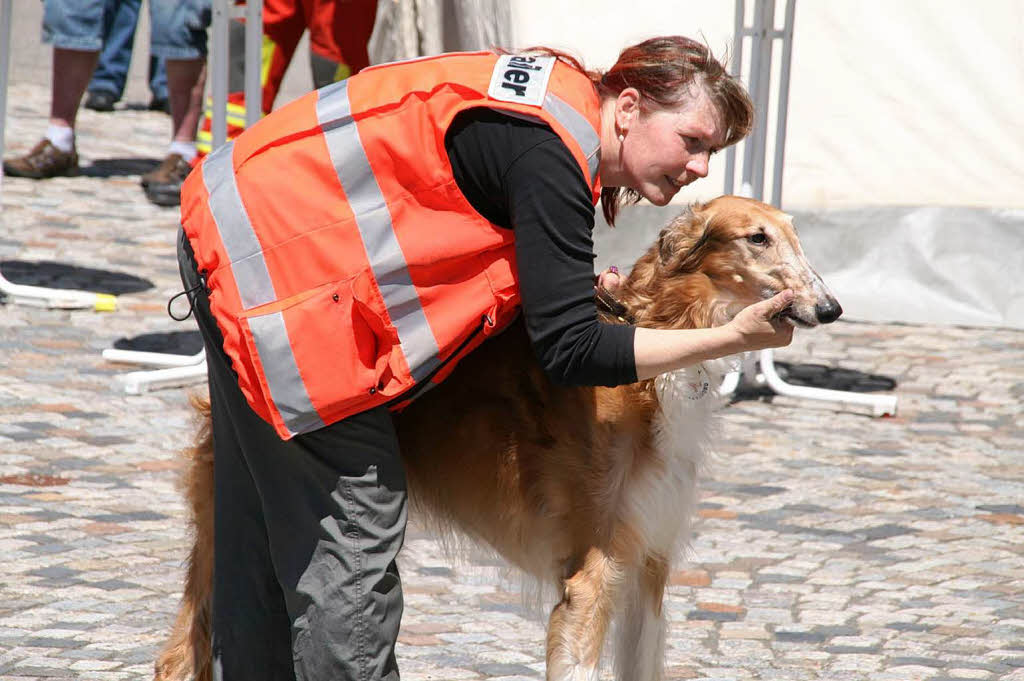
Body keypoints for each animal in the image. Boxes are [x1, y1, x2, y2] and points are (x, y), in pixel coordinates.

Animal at [151, 193, 839, 675]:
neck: (657, 343)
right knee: (177, 658)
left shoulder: (649, 565)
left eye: (797, 234)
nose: (830, 308)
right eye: (757, 238)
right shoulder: (592, 576)